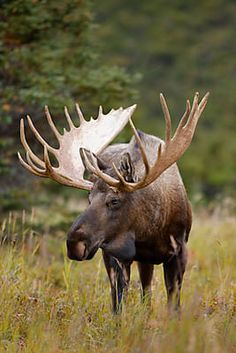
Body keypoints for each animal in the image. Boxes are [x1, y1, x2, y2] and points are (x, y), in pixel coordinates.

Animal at [18, 92, 208, 312]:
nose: (74, 243)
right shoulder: (116, 254)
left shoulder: (179, 250)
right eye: (88, 198)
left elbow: (173, 305)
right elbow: (118, 304)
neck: (149, 230)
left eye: (114, 200)